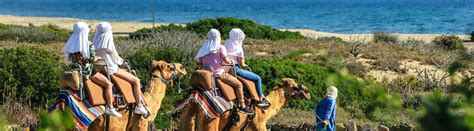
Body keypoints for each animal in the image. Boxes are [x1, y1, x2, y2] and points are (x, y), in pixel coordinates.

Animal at [178, 78, 312, 131]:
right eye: (294, 86)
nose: (307, 92)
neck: (263, 111)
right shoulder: (259, 125)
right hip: (211, 121)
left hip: (186, 120)